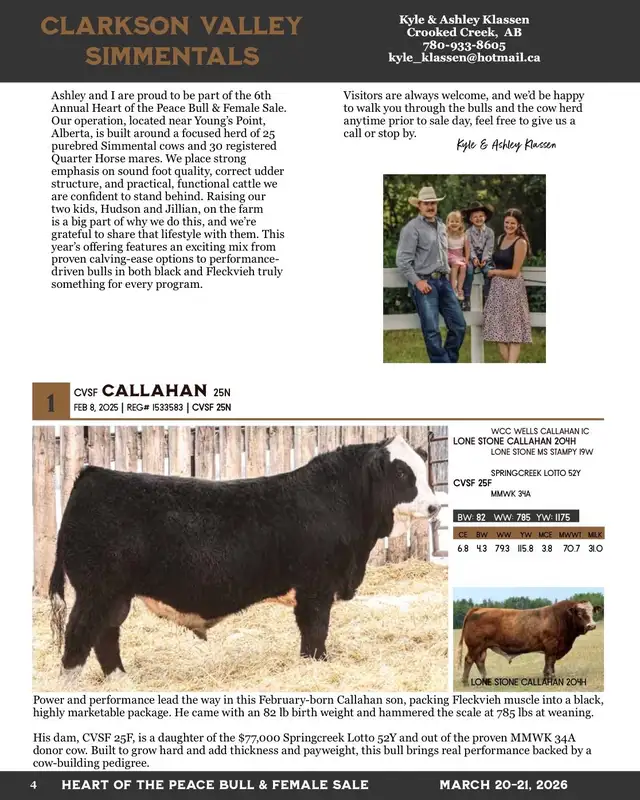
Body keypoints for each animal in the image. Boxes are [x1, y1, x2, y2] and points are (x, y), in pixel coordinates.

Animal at [49, 435, 440, 682]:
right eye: (402, 472)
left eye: (423, 469)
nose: (436, 506)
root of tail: (92, 474)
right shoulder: (316, 587)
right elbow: (315, 632)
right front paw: (316, 666)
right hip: (97, 591)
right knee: (78, 638)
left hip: (115, 595)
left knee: (106, 637)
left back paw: (122, 681)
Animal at [457, 600, 603, 685]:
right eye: (579, 613)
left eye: (592, 611)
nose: (592, 625)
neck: (560, 617)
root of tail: (478, 608)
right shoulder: (551, 645)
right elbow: (550, 662)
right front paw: (551, 678)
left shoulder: (552, 648)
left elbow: (549, 662)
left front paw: (547, 676)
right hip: (475, 646)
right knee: (469, 660)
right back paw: (465, 681)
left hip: (483, 647)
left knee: (480, 661)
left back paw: (486, 680)